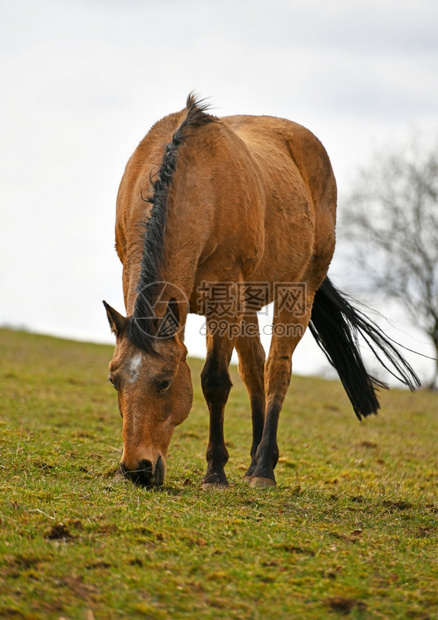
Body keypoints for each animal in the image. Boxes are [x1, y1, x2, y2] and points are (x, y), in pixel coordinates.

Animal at [103, 93, 420, 490]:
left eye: (164, 382)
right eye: (114, 380)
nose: (137, 469)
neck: (197, 183)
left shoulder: (224, 300)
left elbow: (214, 381)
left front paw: (215, 473)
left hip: (296, 295)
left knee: (275, 372)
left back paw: (263, 468)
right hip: (249, 305)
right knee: (255, 373)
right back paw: (254, 458)